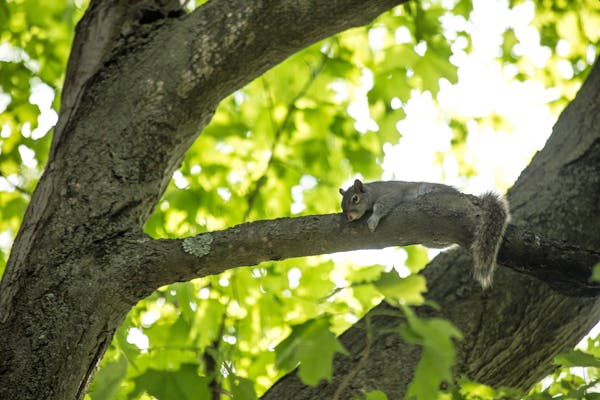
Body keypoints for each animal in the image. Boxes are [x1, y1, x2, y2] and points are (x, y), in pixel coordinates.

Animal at [340, 180, 508, 290]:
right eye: (342, 206)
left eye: (355, 199)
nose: (349, 217)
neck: (373, 191)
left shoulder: (392, 194)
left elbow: (381, 205)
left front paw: (373, 219)